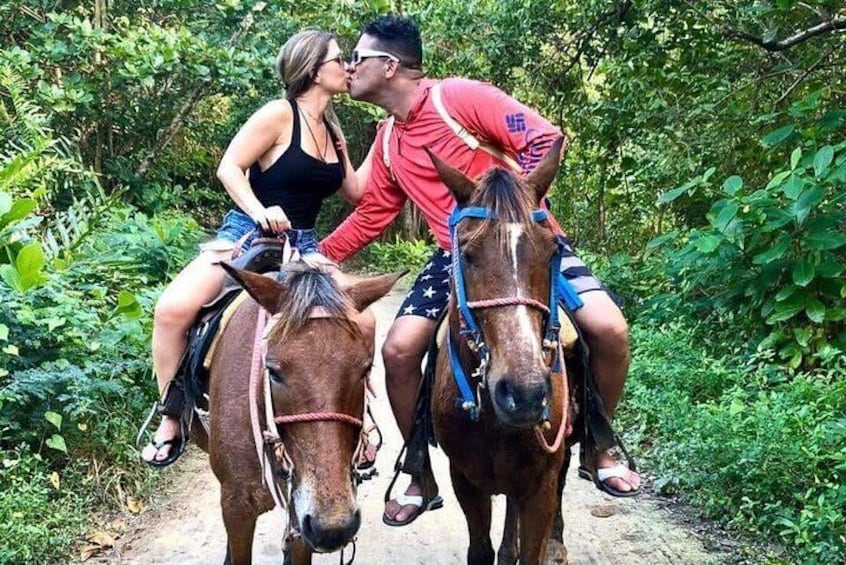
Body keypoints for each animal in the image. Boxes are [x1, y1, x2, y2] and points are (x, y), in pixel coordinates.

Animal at [428, 141, 572, 564]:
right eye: (467, 254)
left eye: (551, 252)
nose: (524, 393)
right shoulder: (465, 479)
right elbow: (481, 549)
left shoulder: (540, 485)